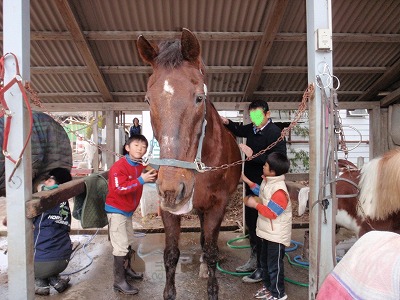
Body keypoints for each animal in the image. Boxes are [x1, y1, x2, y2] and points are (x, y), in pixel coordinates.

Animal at [136, 28, 241, 300]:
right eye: (148, 100)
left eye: (199, 98)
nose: (174, 190)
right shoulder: (167, 209)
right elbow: (171, 255)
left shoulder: (217, 206)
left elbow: (212, 250)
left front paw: (212, 288)